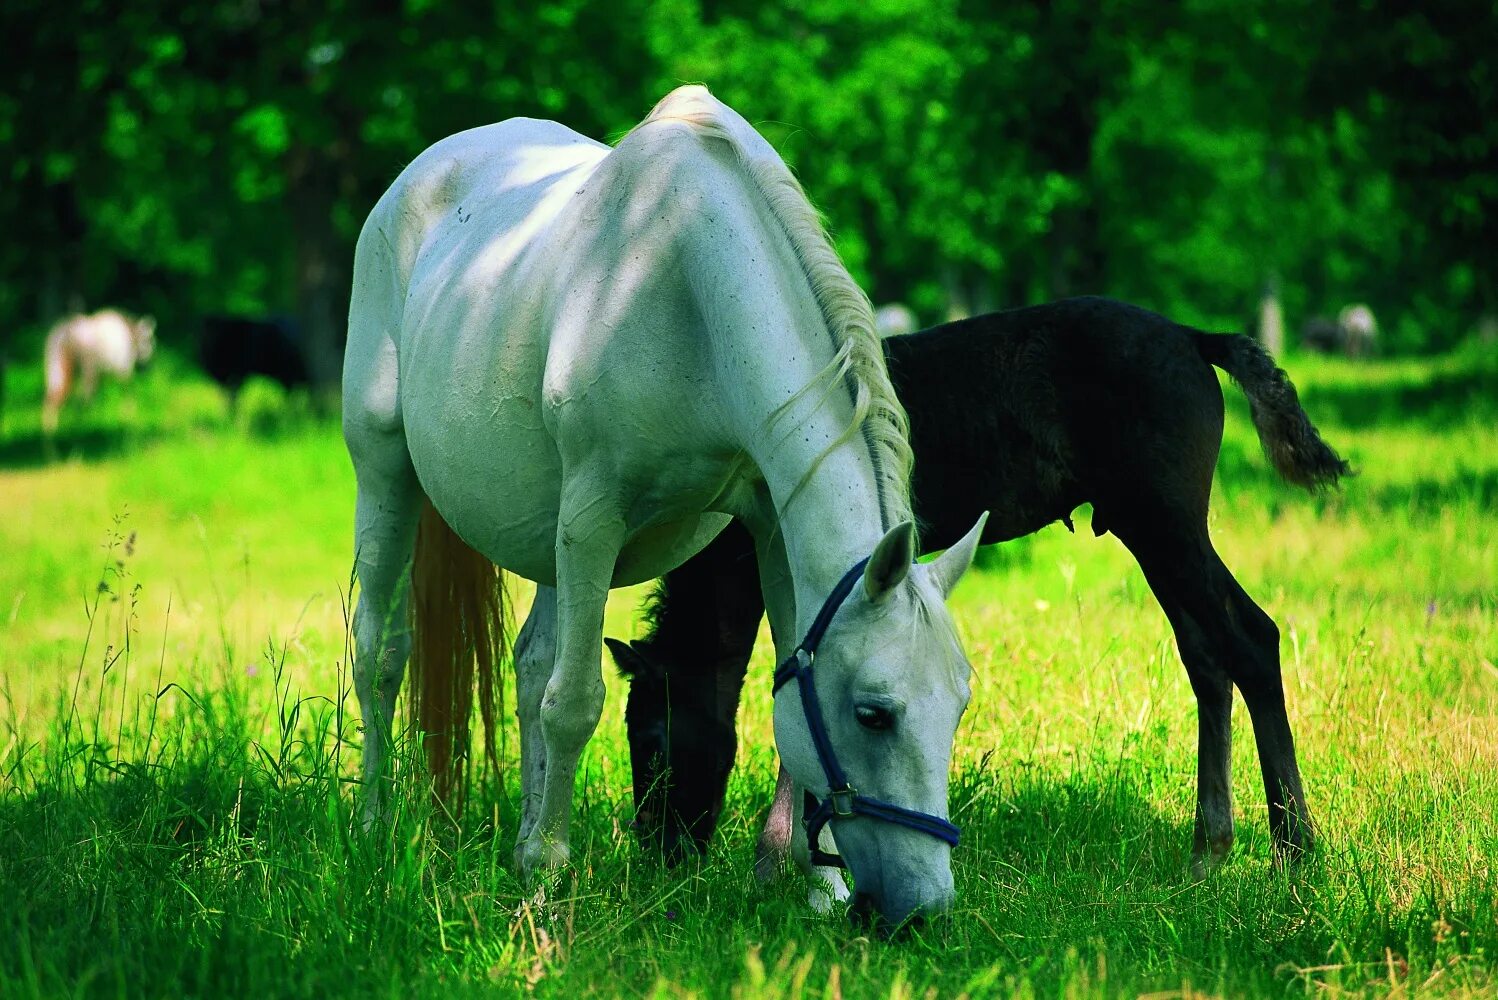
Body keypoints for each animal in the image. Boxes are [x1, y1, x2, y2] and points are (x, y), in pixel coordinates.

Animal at [344, 86, 988, 922]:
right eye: (874, 713)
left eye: (960, 704)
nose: (922, 910)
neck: (682, 281)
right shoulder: (593, 516)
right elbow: (575, 703)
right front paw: (551, 881)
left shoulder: (768, 520)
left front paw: (819, 889)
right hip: (387, 478)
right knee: (381, 658)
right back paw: (375, 832)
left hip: (543, 536)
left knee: (531, 664)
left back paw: (517, 845)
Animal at [602, 294, 1354, 874]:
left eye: (653, 740)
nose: (662, 854)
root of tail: (1191, 336)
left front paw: (781, 859)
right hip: (1152, 530)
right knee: (1206, 659)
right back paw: (1209, 849)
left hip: (1164, 521)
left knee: (1251, 639)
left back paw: (1295, 852)